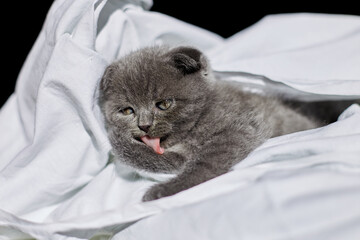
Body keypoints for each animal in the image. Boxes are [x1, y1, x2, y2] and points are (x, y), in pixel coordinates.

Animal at [98, 44, 320, 201]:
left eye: (164, 104)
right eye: (127, 110)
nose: (144, 125)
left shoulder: (239, 128)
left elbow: (205, 163)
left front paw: (164, 190)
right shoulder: (179, 156)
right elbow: (163, 160)